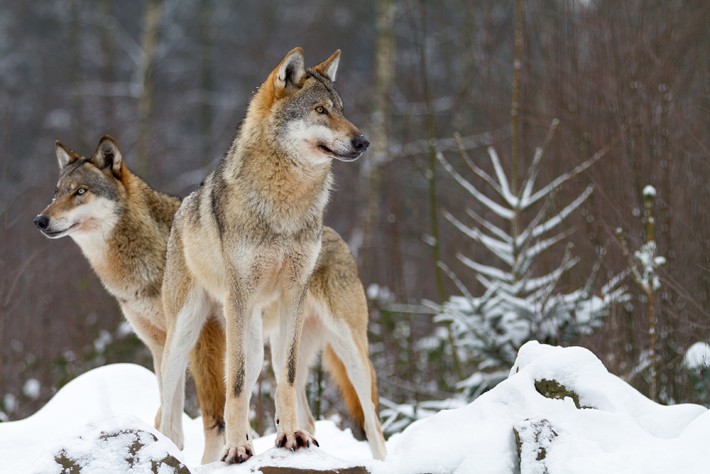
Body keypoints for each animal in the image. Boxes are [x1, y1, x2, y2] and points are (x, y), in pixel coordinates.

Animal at [159, 47, 386, 462]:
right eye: (320, 110)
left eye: (342, 110)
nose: (363, 141)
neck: (286, 204)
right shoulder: (239, 299)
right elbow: (235, 388)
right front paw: (236, 448)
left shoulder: (293, 295)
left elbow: (288, 380)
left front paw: (290, 437)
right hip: (195, 337)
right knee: (170, 414)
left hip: (344, 348)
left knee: (371, 422)